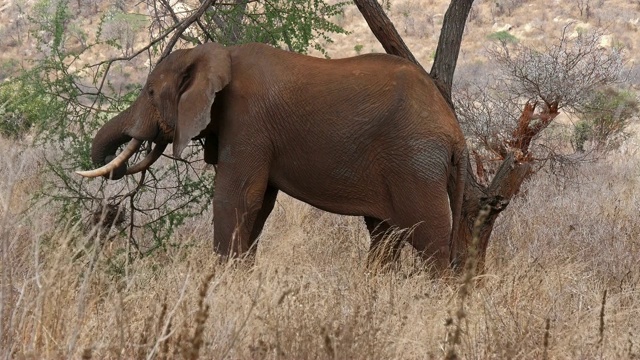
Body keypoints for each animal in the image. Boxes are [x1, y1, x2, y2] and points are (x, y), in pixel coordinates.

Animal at [77, 42, 468, 272]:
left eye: (150, 92)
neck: (216, 54)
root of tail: (456, 133)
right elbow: (258, 204)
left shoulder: (247, 120)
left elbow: (236, 197)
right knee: (385, 235)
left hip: (415, 162)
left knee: (428, 238)